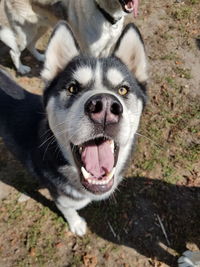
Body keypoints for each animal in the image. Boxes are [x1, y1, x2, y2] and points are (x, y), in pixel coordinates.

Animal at [0, 0, 138, 74]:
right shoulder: (90, 52)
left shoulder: (107, 48)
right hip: (25, 32)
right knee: (14, 51)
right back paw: (21, 69)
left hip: (40, 28)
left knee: (31, 45)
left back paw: (40, 57)